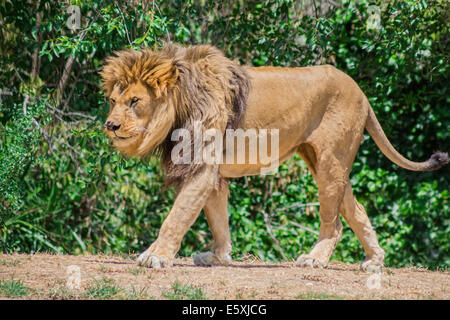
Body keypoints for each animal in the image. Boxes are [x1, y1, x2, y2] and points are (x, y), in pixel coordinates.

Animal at [100, 43, 448, 272]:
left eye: (135, 101)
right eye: (113, 100)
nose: (110, 125)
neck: (182, 103)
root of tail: (361, 92)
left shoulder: (201, 167)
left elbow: (177, 215)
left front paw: (156, 255)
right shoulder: (212, 174)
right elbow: (217, 219)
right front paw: (218, 257)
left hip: (330, 163)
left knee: (334, 223)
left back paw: (315, 259)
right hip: (326, 164)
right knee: (356, 209)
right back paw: (375, 261)